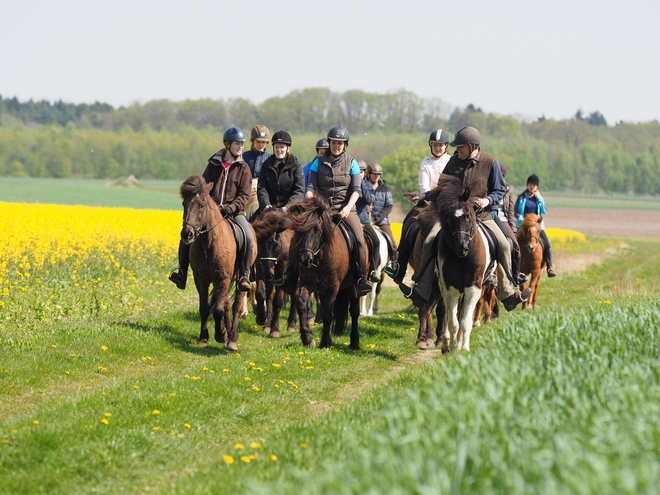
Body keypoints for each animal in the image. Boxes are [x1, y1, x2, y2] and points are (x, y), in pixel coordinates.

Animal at [179, 176, 256, 350]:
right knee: (225, 304)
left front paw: (220, 335)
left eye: (201, 205)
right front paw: (204, 337)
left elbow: (218, 309)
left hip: (239, 279)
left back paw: (232, 338)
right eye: (184, 204)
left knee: (236, 305)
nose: (187, 234)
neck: (208, 243)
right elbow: (205, 308)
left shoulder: (222, 278)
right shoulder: (201, 279)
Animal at [288, 196, 360, 350]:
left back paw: (354, 343)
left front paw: (326, 342)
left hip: (353, 285)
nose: (305, 260)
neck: (320, 256)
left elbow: (328, 314)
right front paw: (308, 338)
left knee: (354, 311)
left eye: (317, 229)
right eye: (299, 230)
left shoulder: (332, 286)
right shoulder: (307, 282)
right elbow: (301, 305)